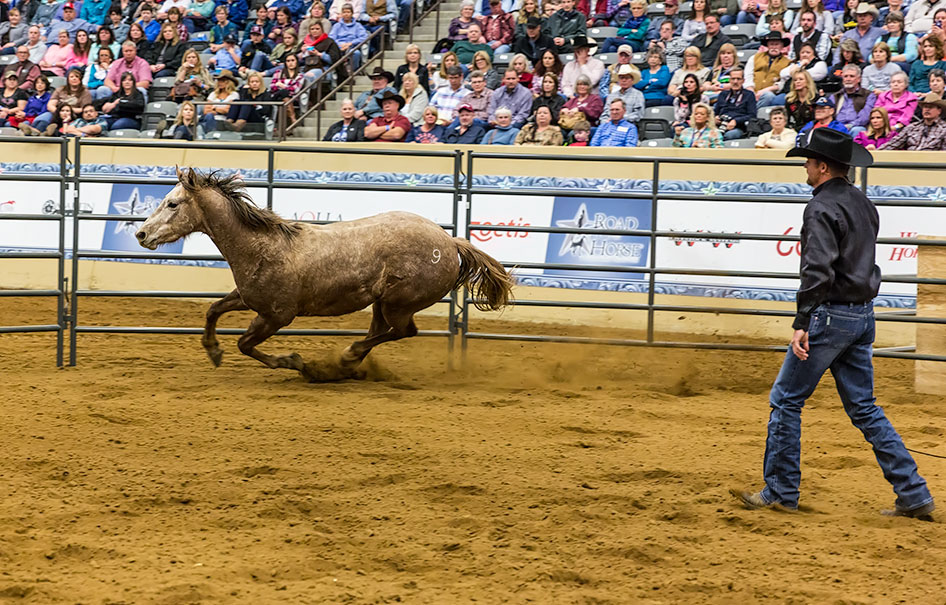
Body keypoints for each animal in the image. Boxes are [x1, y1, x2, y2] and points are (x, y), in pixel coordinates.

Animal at [136, 168, 512, 380]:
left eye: (172, 204)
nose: (141, 234)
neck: (260, 246)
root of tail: (449, 242)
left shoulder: (276, 316)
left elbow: (245, 344)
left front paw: (297, 363)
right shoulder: (248, 299)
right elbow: (213, 310)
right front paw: (213, 351)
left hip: (399, 303)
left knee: (402, 332)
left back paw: (345, 358)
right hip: (381, 304)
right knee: (382, 332)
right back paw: (349, 364)